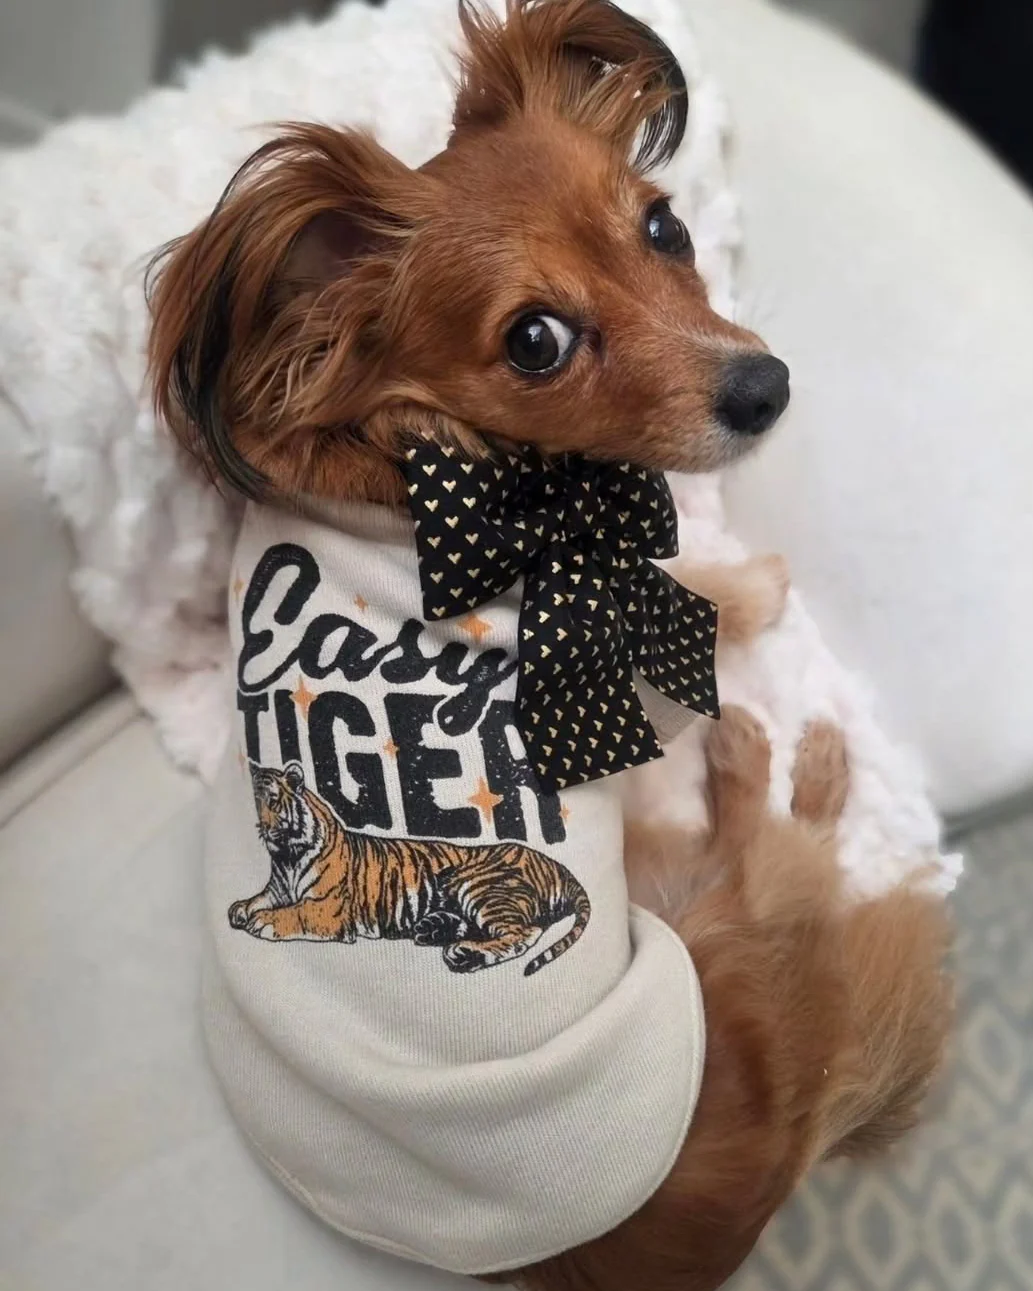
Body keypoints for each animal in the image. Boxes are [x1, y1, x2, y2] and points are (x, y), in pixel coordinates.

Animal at [229, 761, 592, 976]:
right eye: (255, 801)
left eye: (272, 801)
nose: (262, 828)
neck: (287, 856)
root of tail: (555, 864)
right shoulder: (276, 888)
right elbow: (259, 899)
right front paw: (241, 909)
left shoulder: (327, 907)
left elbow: (296, 911)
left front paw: (265, 921)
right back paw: (433, 928)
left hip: (479, 885)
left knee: (524, 932)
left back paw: (465, 954)